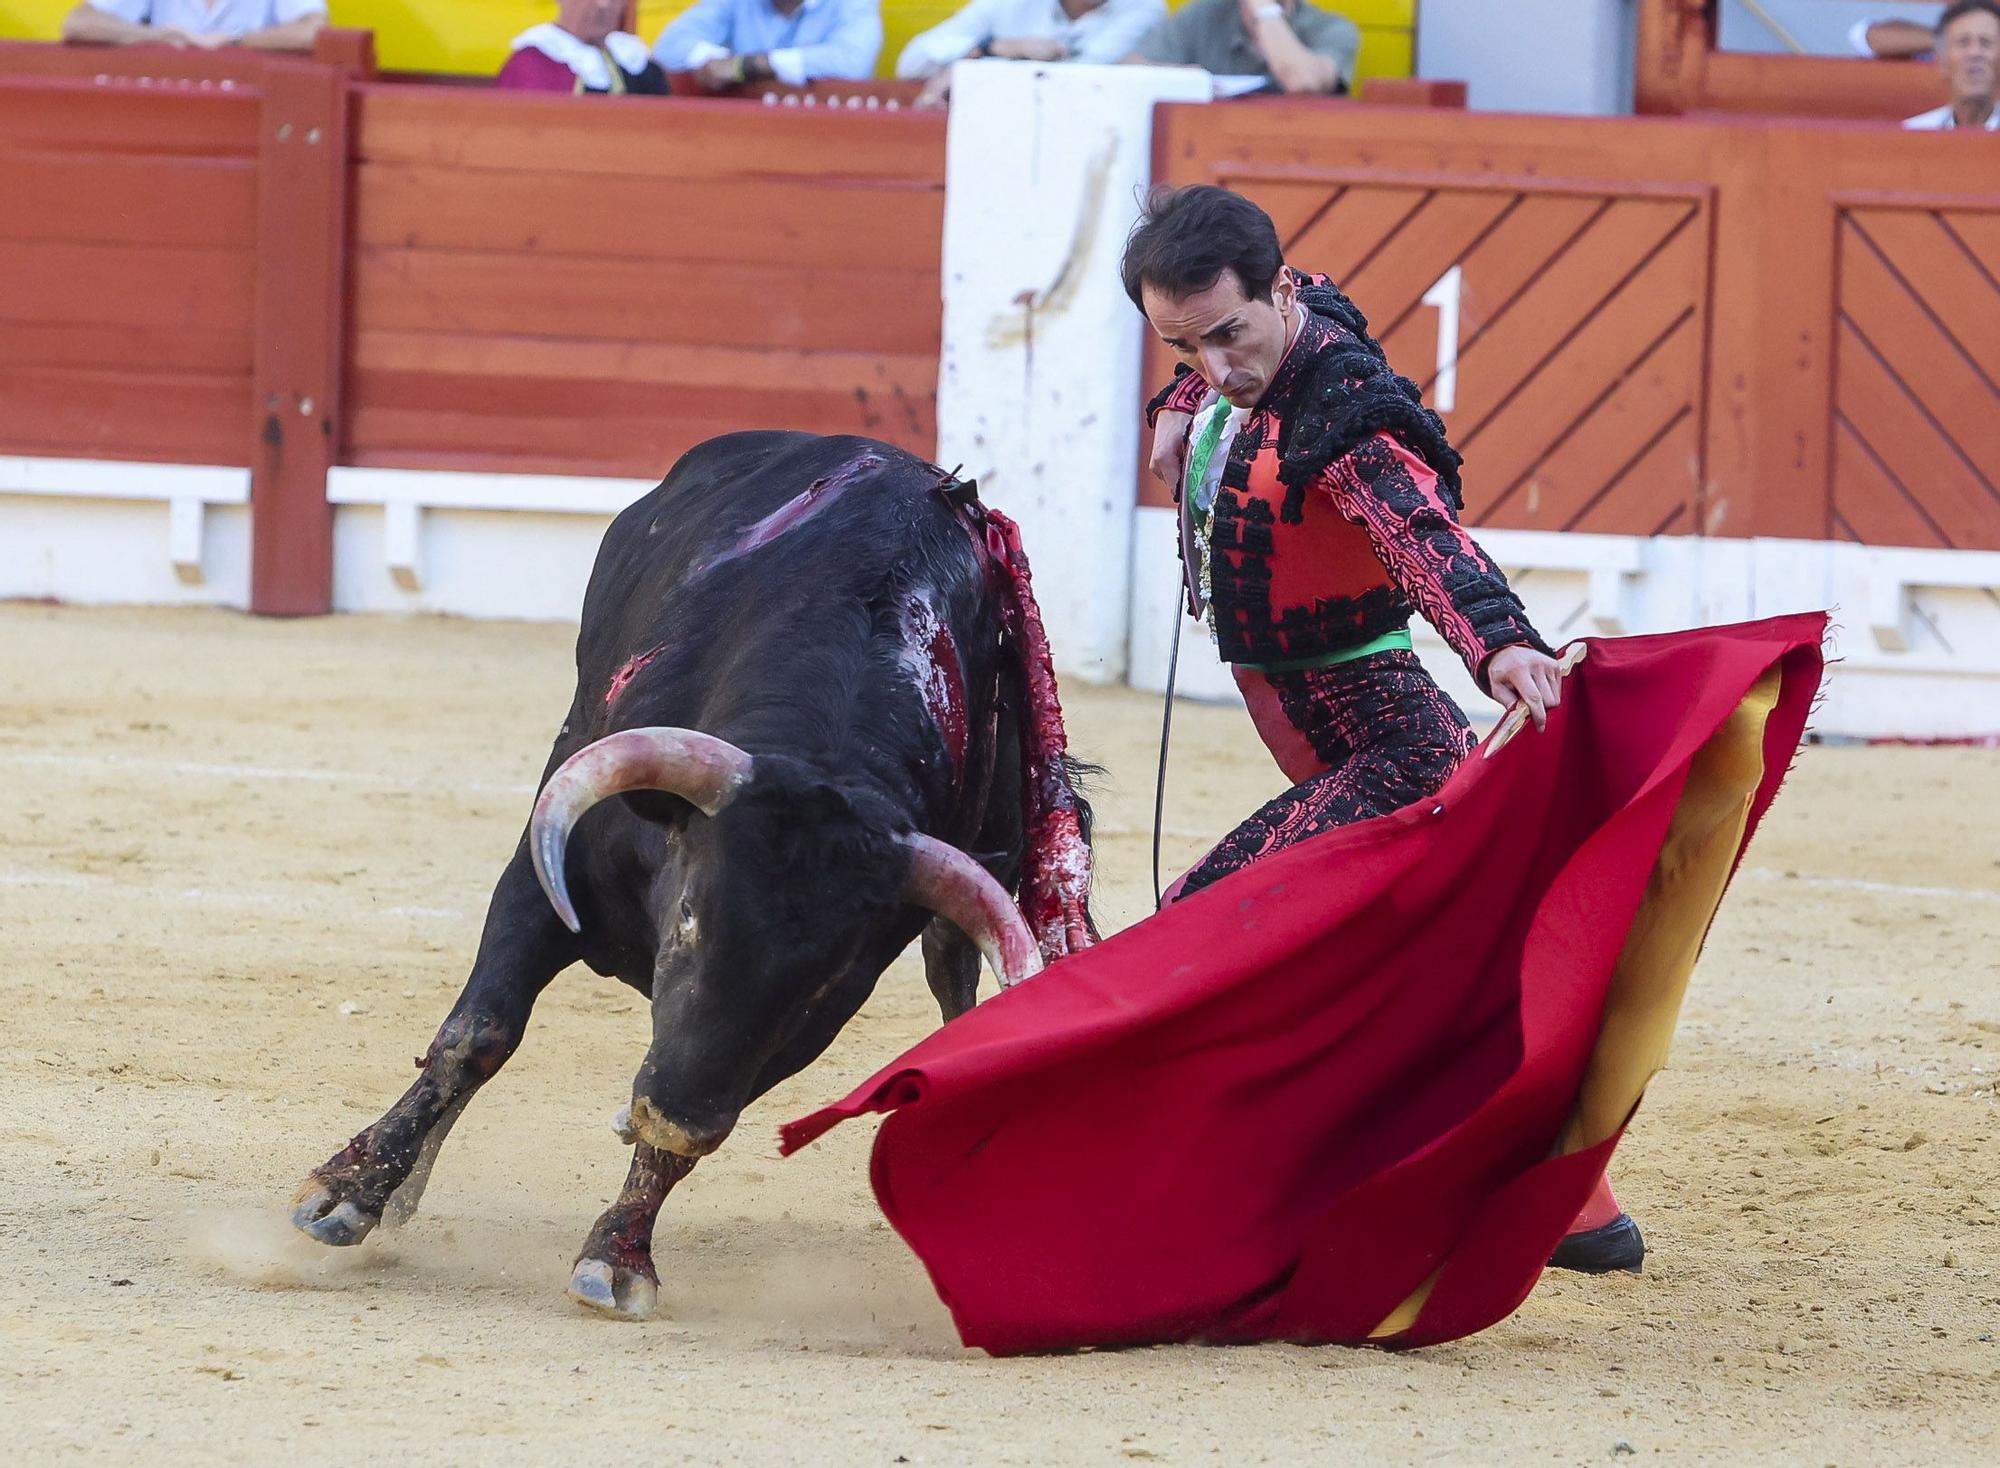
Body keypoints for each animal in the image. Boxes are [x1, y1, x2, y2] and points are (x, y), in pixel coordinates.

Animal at [288, 434, 1096, 1320]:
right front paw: (352, 1192)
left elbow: (700, 1124)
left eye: (827, 980)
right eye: (688, 917)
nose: (666, 1107)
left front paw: (617, 1253)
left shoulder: (774, 1038)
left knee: (953, 974)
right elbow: (478, 1034)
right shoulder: (544, 871)